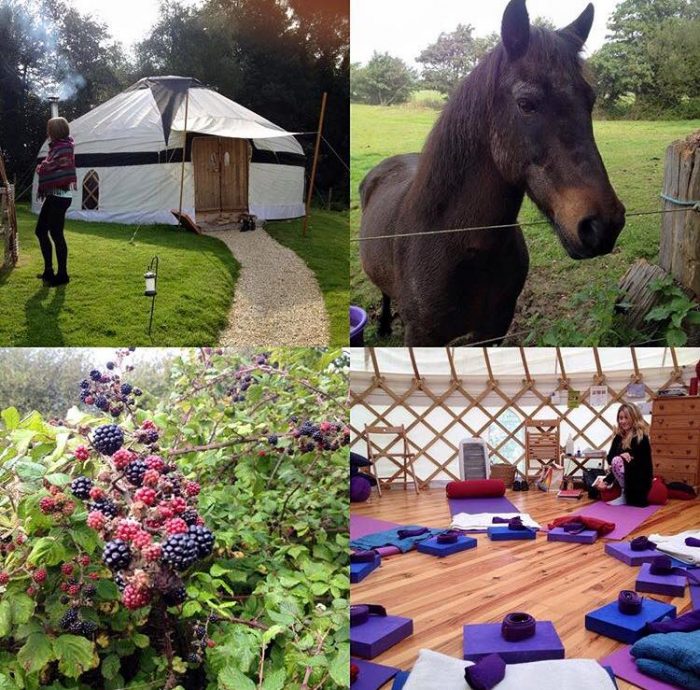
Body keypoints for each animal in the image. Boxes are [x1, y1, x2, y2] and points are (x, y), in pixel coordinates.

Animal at [358, 0, 628, 344]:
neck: (459, 244)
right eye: (526, 103)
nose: (603, 225)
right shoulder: (420, 336)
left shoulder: (494, 329)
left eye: (589, 101)